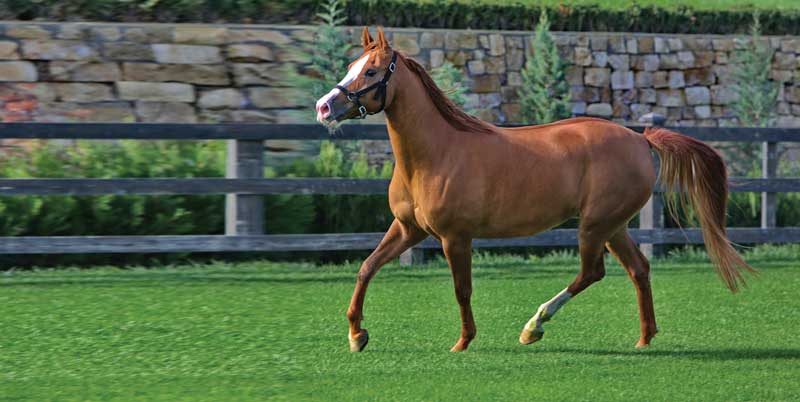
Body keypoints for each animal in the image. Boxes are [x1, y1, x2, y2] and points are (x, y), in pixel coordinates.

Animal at [314, 27, 756, 352]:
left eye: (372, 72)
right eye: (352, 66)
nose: (324, 107)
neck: (434, 153)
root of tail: (640, 138)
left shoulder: (456, 237)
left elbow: (462, 289)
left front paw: (463, 342)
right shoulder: (409, 230)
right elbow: (367, 267)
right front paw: (357, 336)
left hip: (594, 226)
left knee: (592, 272)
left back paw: (534, 326)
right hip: (614, 226)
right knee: (639, 269)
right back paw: (644, 338)